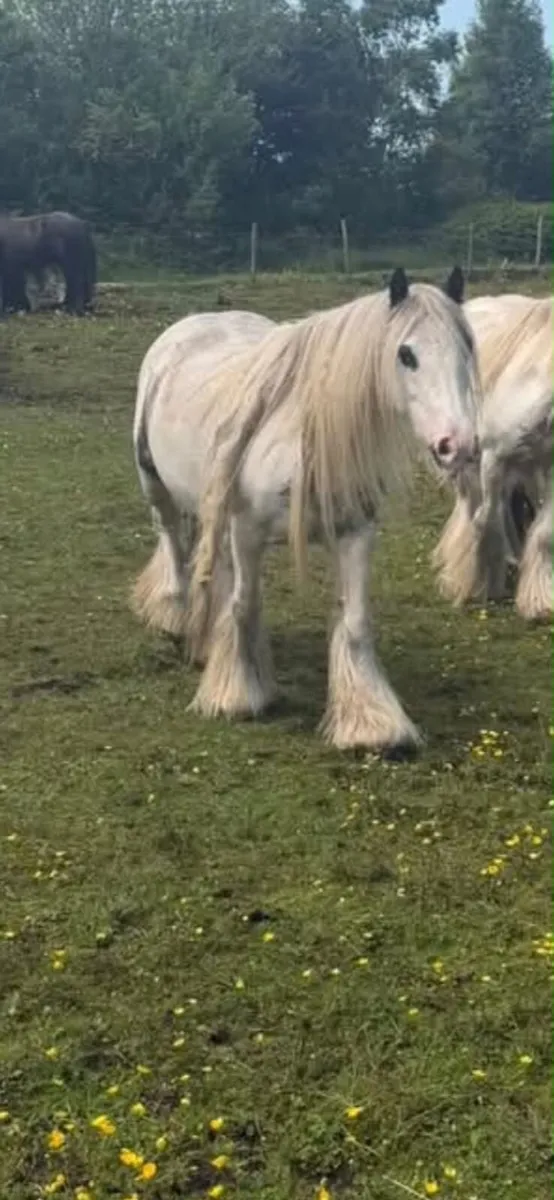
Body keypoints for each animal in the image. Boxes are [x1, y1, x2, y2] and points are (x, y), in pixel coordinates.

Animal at [131, 267, 479, 754]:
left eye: (467, 347)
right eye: (406, 354)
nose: (458, 445)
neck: (299, 438)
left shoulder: (355, 533)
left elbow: (355, 621)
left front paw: (372, 723)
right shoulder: (247, 531)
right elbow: (245, 605)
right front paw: (238, 695)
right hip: (156, 485)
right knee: (174, 547)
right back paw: (176, 616)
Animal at [432, 293, 552, 621]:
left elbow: (545, 531)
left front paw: (539, 600)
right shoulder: (493, 458)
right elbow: (485, 520)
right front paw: (479, 586)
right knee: (472, 507)